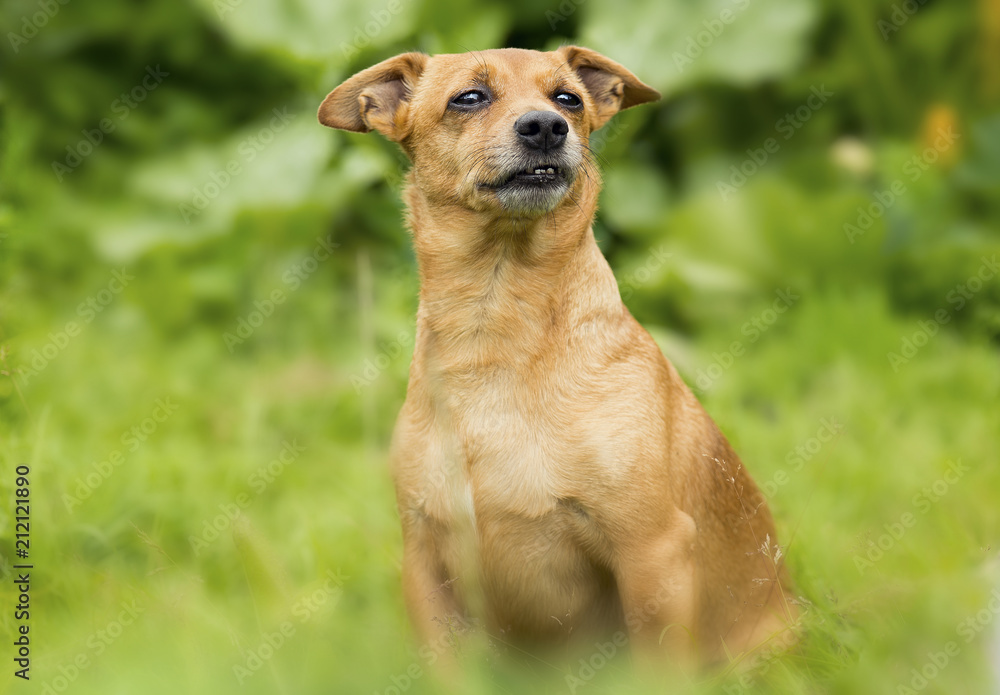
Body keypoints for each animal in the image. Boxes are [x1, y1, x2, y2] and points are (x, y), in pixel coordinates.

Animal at [320, 47, 796, 668]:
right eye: (469, 97)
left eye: (568, 98)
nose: (547, 126)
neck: (496, 331)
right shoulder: (426, 563)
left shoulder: (654, 552)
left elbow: (659, 669)